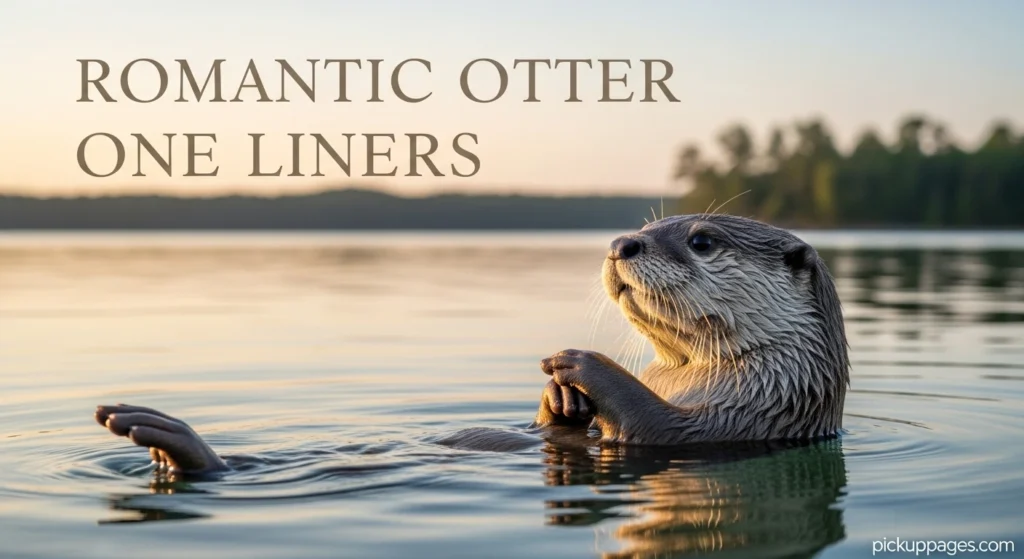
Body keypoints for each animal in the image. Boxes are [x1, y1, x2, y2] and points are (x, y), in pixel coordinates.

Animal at [93, 214, 849, 474]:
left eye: (701, 239)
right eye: (646, 223)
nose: (620, 243)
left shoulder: (741, 417)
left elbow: (651, 424)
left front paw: (582, 364)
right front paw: (558, 399)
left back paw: (166, 441)